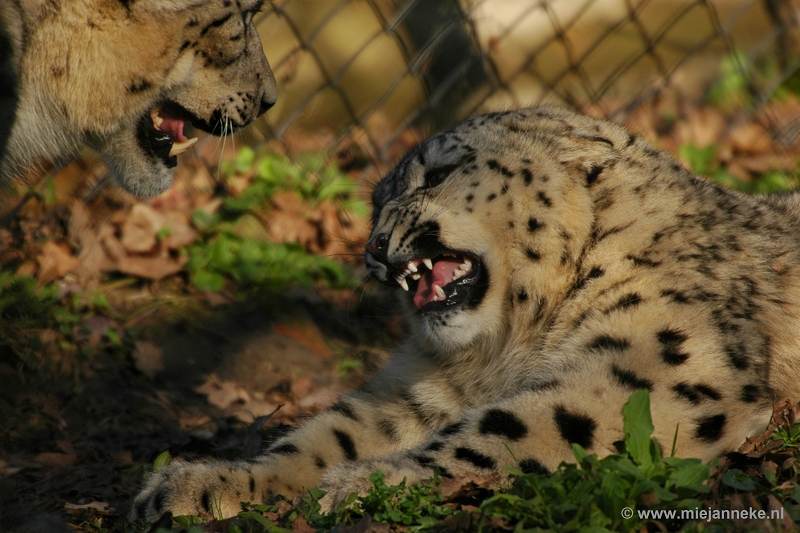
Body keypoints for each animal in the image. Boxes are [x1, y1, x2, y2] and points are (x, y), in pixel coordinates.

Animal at [131, 106, 800, 520]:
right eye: (375, 203)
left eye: (440, 172)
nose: (375, 246)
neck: (504, 347)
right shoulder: (413, 392)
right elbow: (325, 436)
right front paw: (196, 484)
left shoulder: (661, 363)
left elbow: (514, 427)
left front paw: (365, 483)